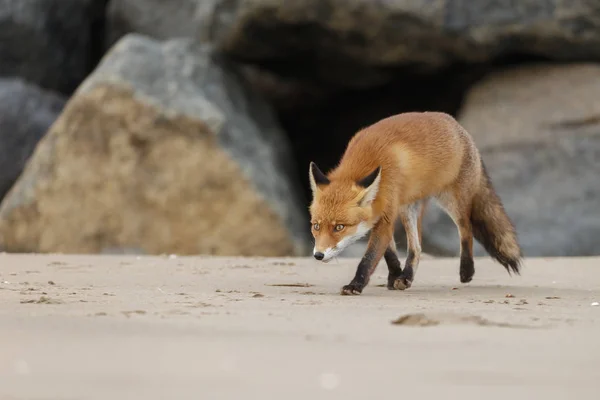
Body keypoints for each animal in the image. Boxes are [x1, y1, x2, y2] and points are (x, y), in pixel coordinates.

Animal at [308, 111, 524, 296]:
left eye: (339, 227)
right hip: (409, 207)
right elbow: (389, 252)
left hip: (450, 200)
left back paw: (466, 270)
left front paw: (355, 285)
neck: (368, 164)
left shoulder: (386, 215)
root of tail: (458, 126)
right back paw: (406, 276)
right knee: (417, 246)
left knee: (466, 228)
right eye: (316, 226)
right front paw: (395, 275)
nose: (318, 255)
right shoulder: (381, 214)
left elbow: (368, 258)